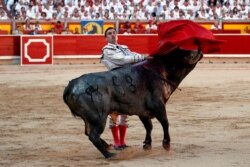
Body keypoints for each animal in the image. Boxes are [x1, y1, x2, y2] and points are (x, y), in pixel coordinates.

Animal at [63, 47, 203, 158]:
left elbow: (148, 126)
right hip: (98, 117)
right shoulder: (158, 105)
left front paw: (147, 145)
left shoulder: (142, 111)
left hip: (89, 119)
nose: (200, 49)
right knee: (93, 136)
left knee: (88, 133)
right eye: (186, 52)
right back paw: (110, 155)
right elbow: (165, 123)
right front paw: (166, 144)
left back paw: (108, 146)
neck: (161, 70)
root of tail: (71, 85)